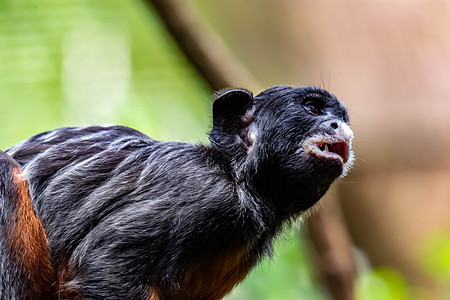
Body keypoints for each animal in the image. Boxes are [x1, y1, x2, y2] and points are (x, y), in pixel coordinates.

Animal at [0, 85, 354, 298]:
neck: (238, 179)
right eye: (313, 109)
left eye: (340, 117)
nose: (341, 127)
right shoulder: (201, 192)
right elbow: (106, 267)